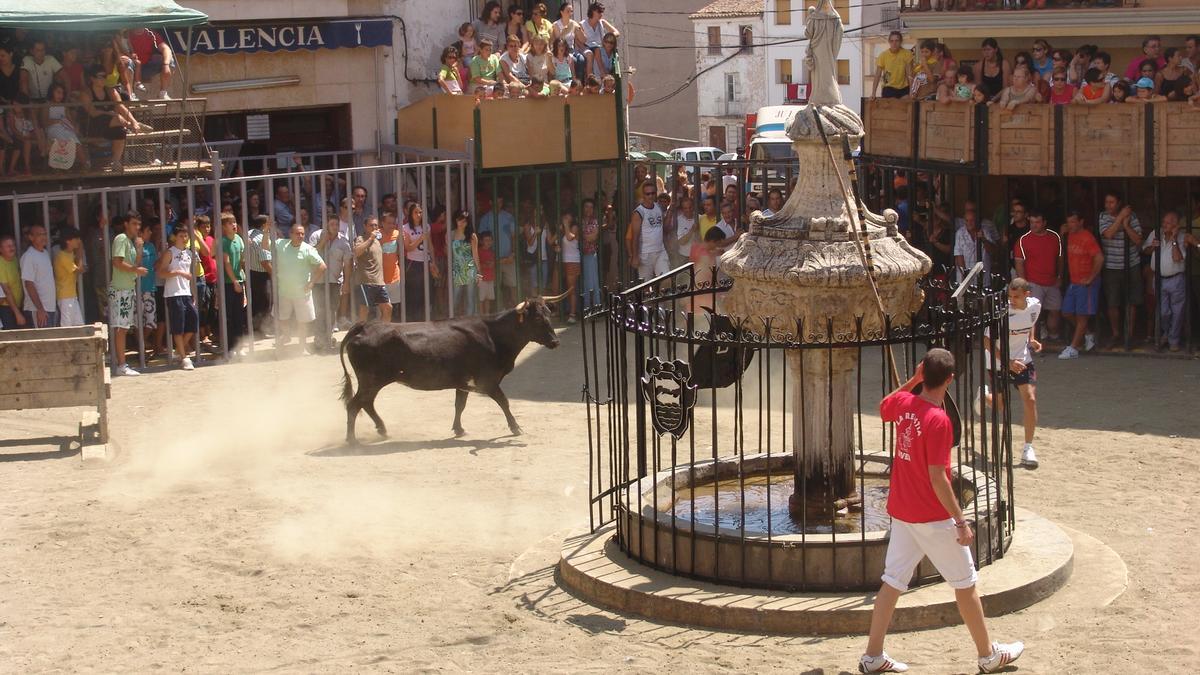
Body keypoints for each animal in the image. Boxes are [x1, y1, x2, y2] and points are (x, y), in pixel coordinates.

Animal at [338, 293, 561, 441]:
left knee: (366, 404)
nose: (555, 341)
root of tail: (365, 326)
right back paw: (352, 440)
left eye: (548, 314)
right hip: (372, 380)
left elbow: (459, 405)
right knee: (354, 405)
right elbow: (504, 402)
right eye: (537, 318)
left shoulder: (463, 383)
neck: (493, 334)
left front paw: (459, 429)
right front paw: (516, 428)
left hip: (372, 382)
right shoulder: (488, 382)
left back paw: (382, 430)